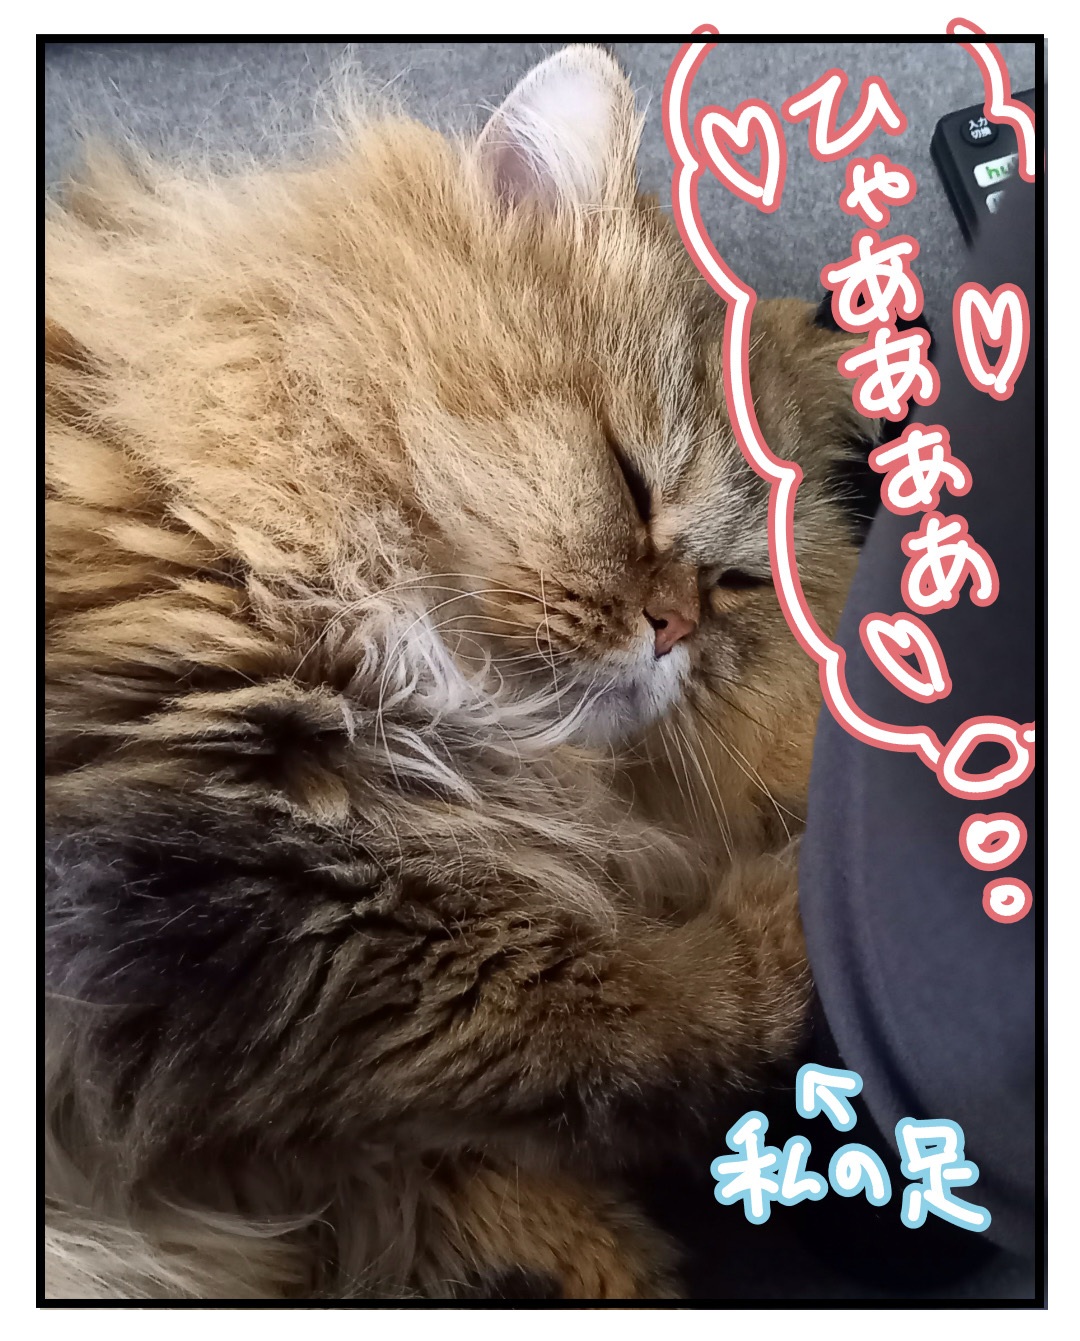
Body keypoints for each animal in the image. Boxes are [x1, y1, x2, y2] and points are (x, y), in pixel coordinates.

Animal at [44, 45, 879, 1299]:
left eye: (738, 582)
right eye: (629, 480)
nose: (675, 629)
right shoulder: (242, 893)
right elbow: (643, 1004)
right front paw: (805, 893)